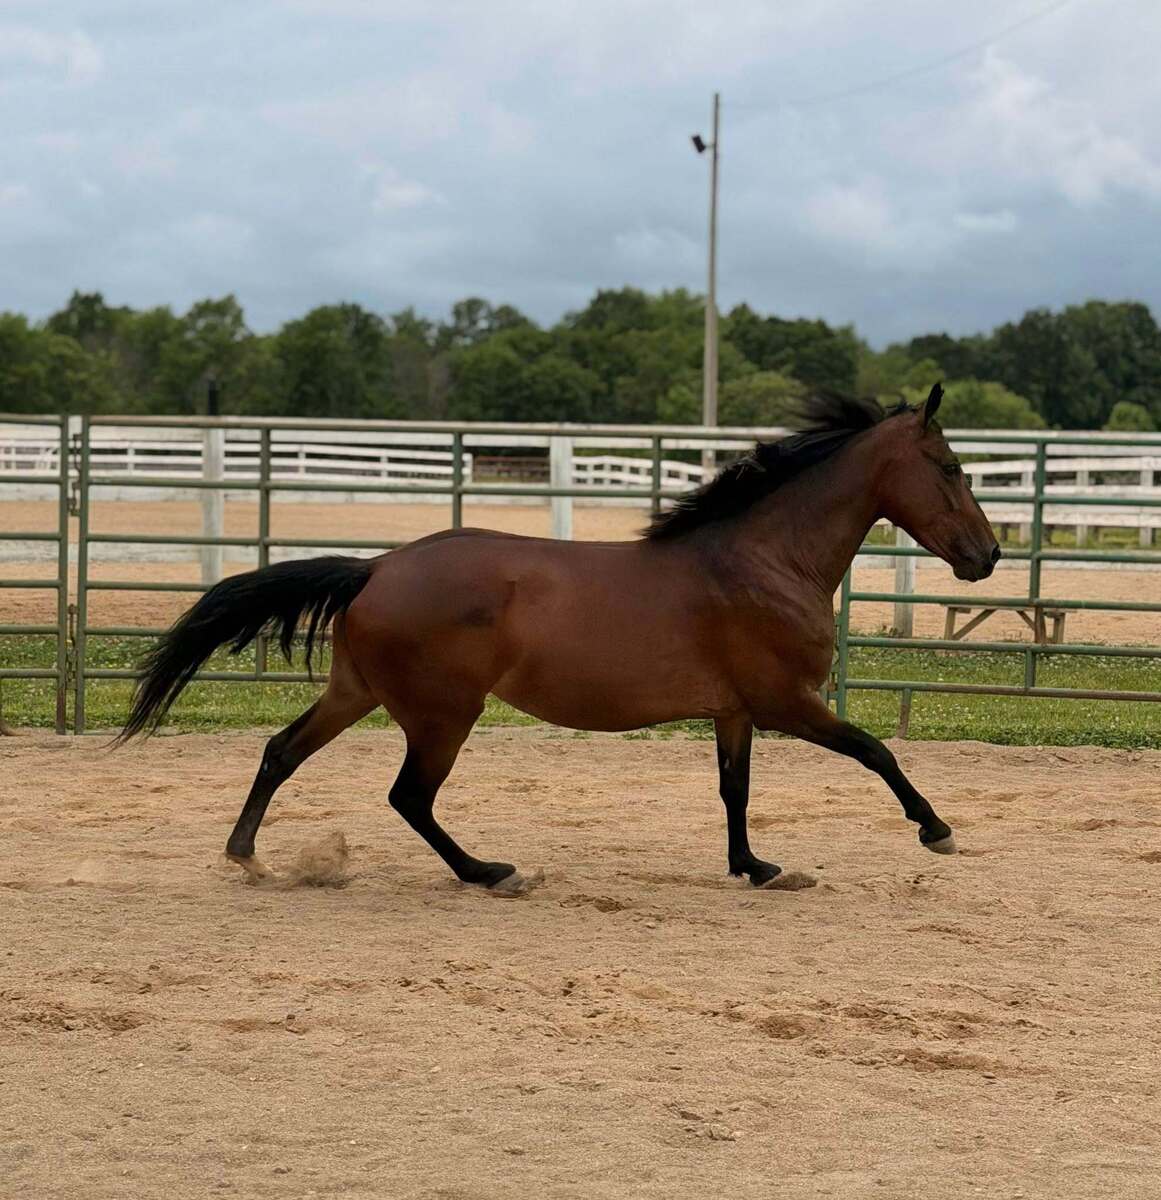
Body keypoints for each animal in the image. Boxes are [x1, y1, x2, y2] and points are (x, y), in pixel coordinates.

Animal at [118, 384, 999, 893]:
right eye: (950, 468)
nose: (986, 556)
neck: (762, 559)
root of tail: (376, 568)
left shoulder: (735, 712)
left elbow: (735, 791)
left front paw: (754, 867)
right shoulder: (788, 701)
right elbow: (875, 752)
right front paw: (937, 832)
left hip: (356, 692)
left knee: (281, 751)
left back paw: (246, 855)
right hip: (442, 714)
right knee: (409, 796)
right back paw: (489, 873)